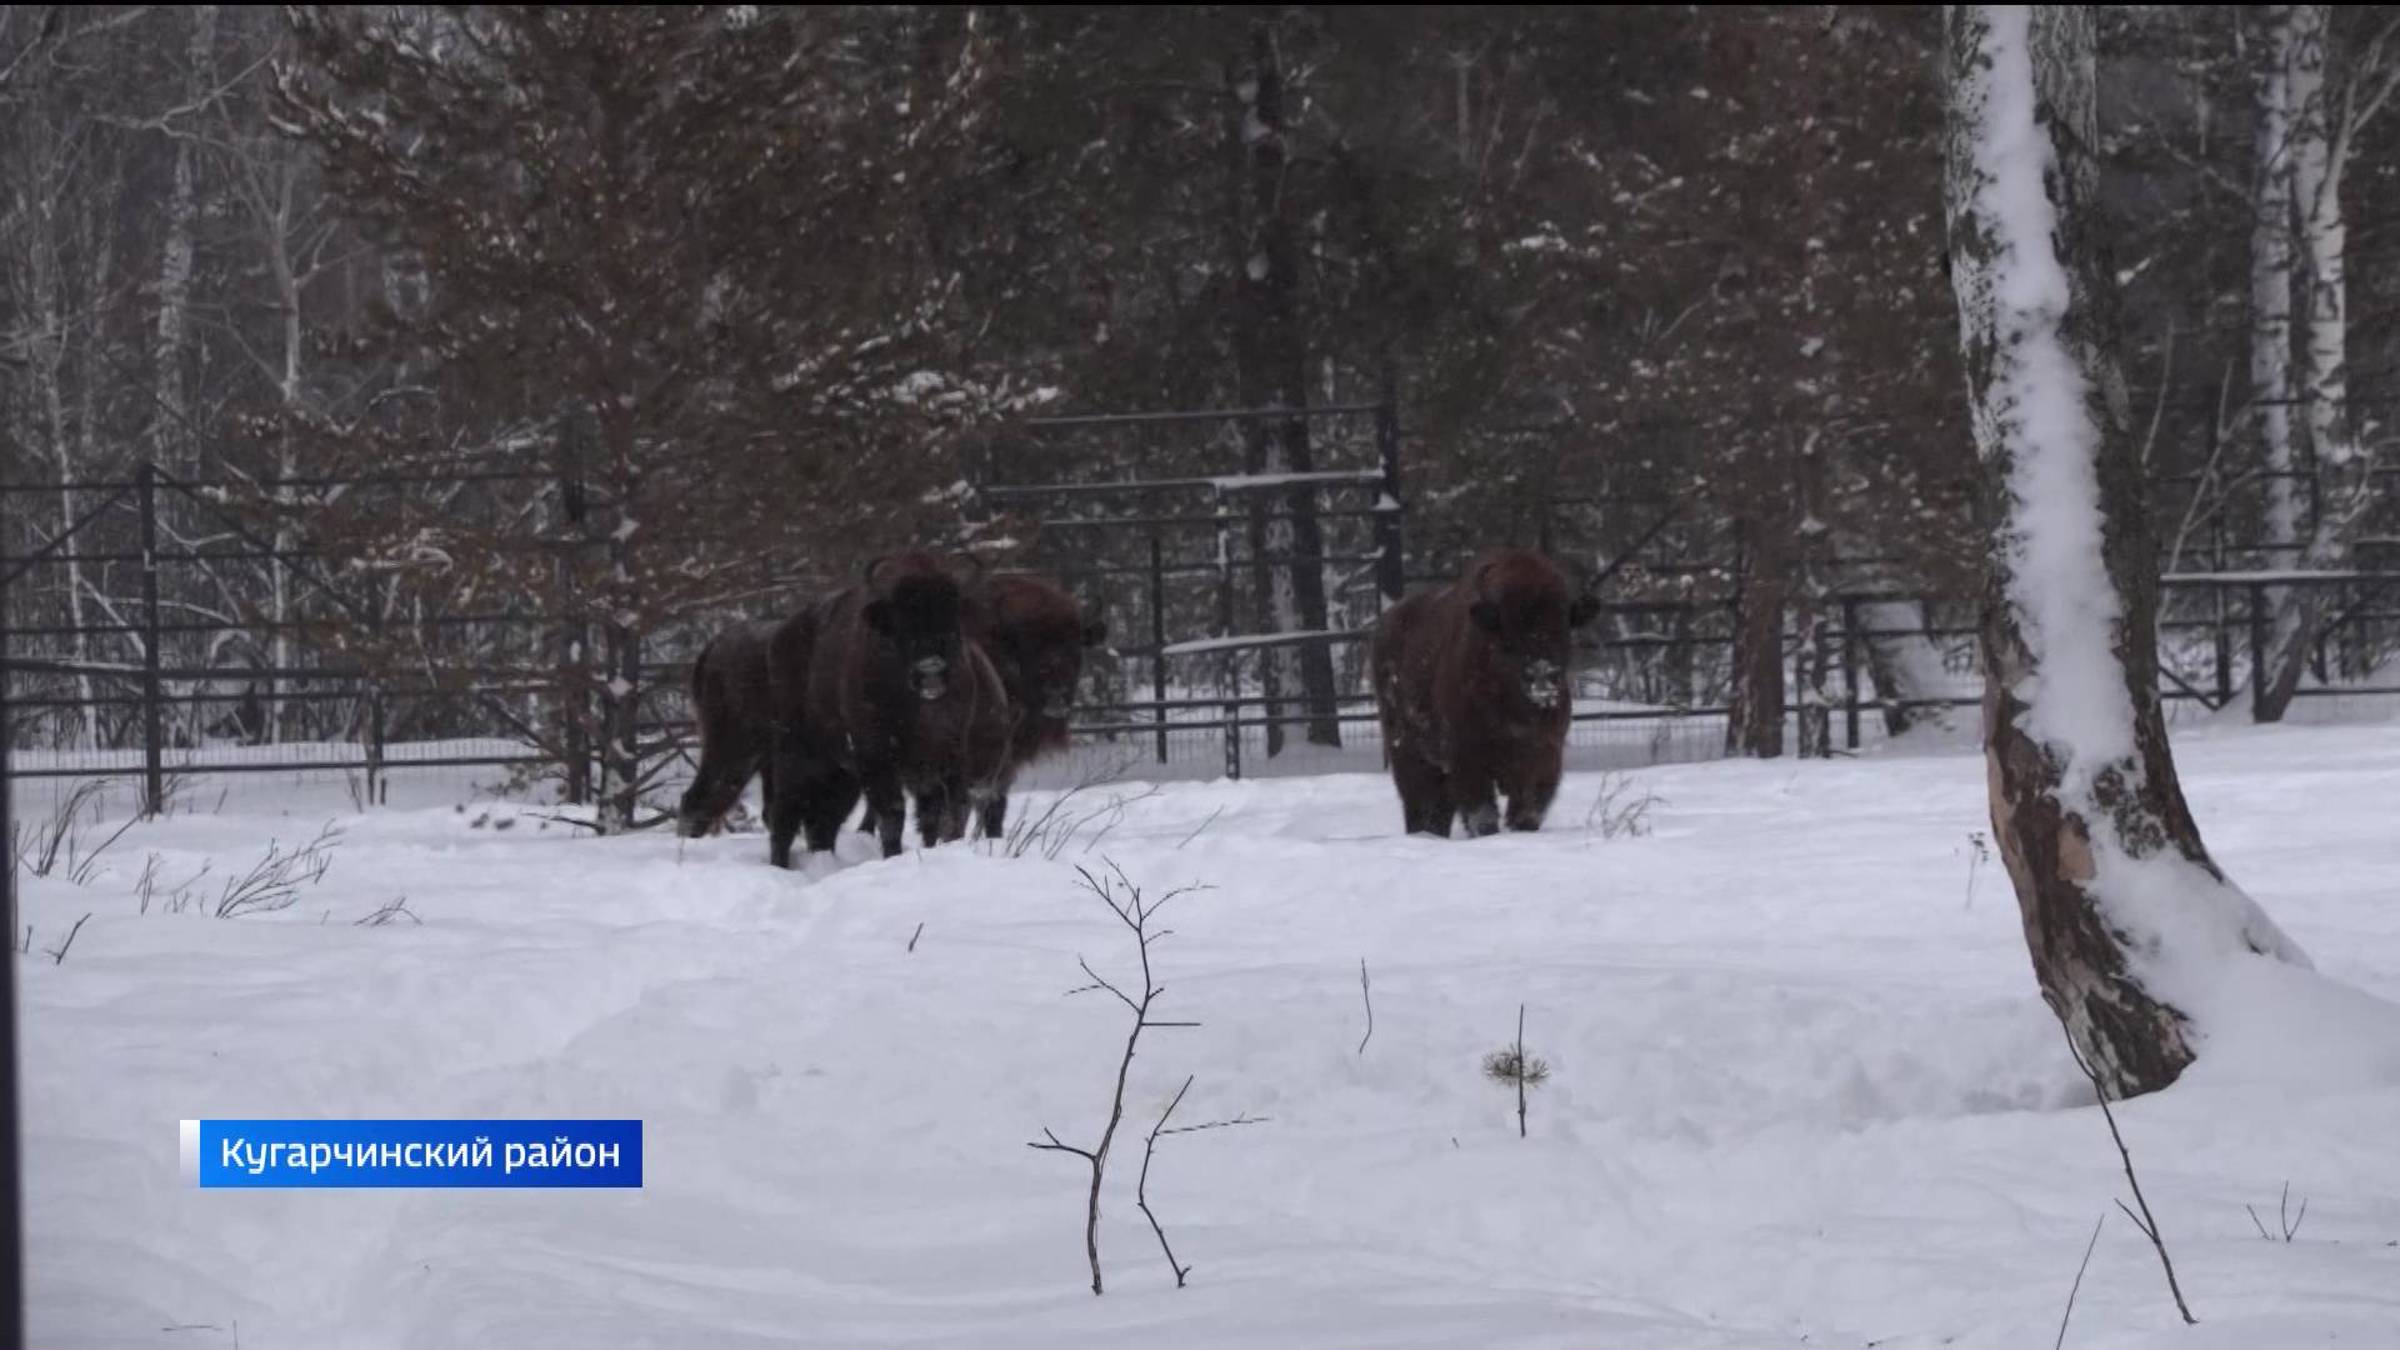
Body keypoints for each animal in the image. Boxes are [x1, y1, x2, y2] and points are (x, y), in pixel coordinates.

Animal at [1372, 547, 1593, 831]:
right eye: (1508, 637)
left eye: (1564, 630)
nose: (1542, 676)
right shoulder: (1468, 759)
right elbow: (1482, 814)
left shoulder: (1544, 756)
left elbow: (1527, 811)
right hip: (1409, 754)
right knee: (1420, 806)